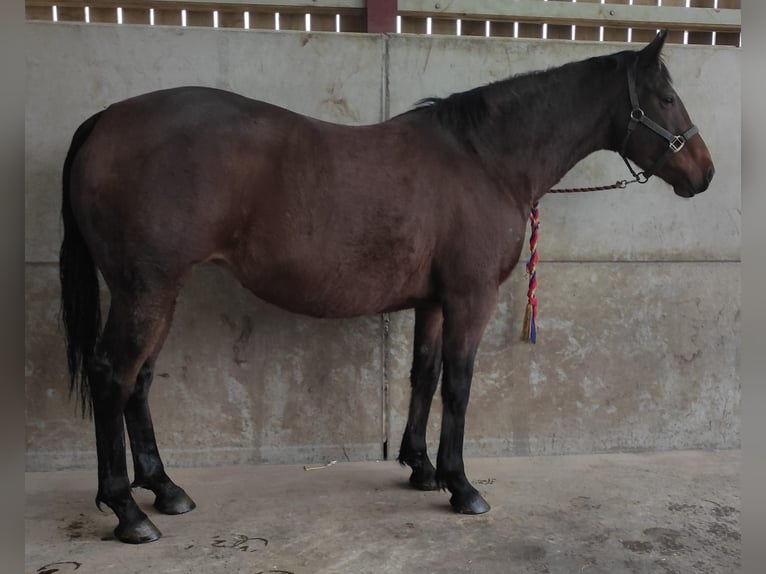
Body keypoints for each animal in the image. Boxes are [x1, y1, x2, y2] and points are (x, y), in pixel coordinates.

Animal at [58, 31, 712, 544]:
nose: (705, 173)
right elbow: (458, 386)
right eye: (667, 98)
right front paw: (461, 484)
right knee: (113, 375)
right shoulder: (470, 298)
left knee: (139, 380)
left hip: (158, 292)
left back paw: (165, 488)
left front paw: (420, 467)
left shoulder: (433, 302)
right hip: (147, 289)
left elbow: (423, 375)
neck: (484, 159)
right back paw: (127, 511)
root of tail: (106, 119)